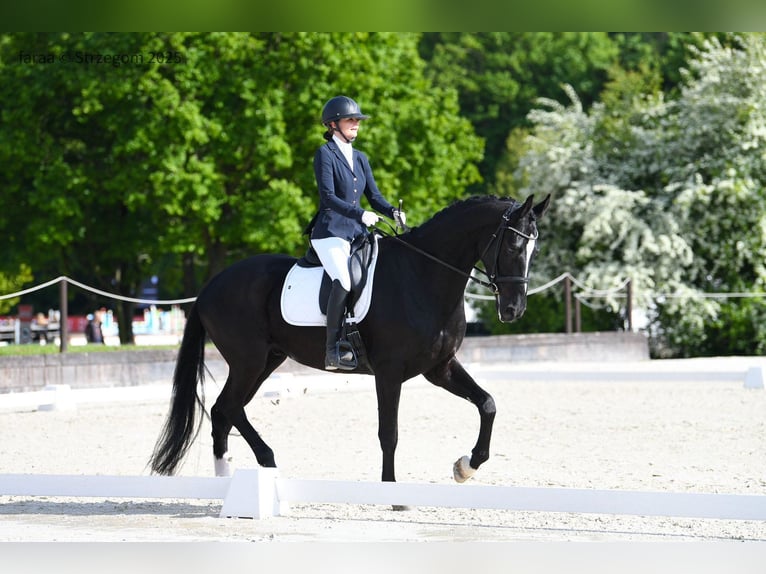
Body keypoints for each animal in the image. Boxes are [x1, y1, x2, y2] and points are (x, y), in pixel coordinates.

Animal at [150, 193, 550, 486]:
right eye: (513, 247)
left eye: (535, 250)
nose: (513, 310)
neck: (424, 275)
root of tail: (210, 287)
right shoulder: (389, 372)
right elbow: (389, 432)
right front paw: (392, 492)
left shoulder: (440, 367)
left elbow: (488, 404)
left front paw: (466, 466)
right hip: (248, 361)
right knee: (227, 409)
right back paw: (254, 470)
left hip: (266, 361)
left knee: (226, 411)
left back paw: (240, 476)